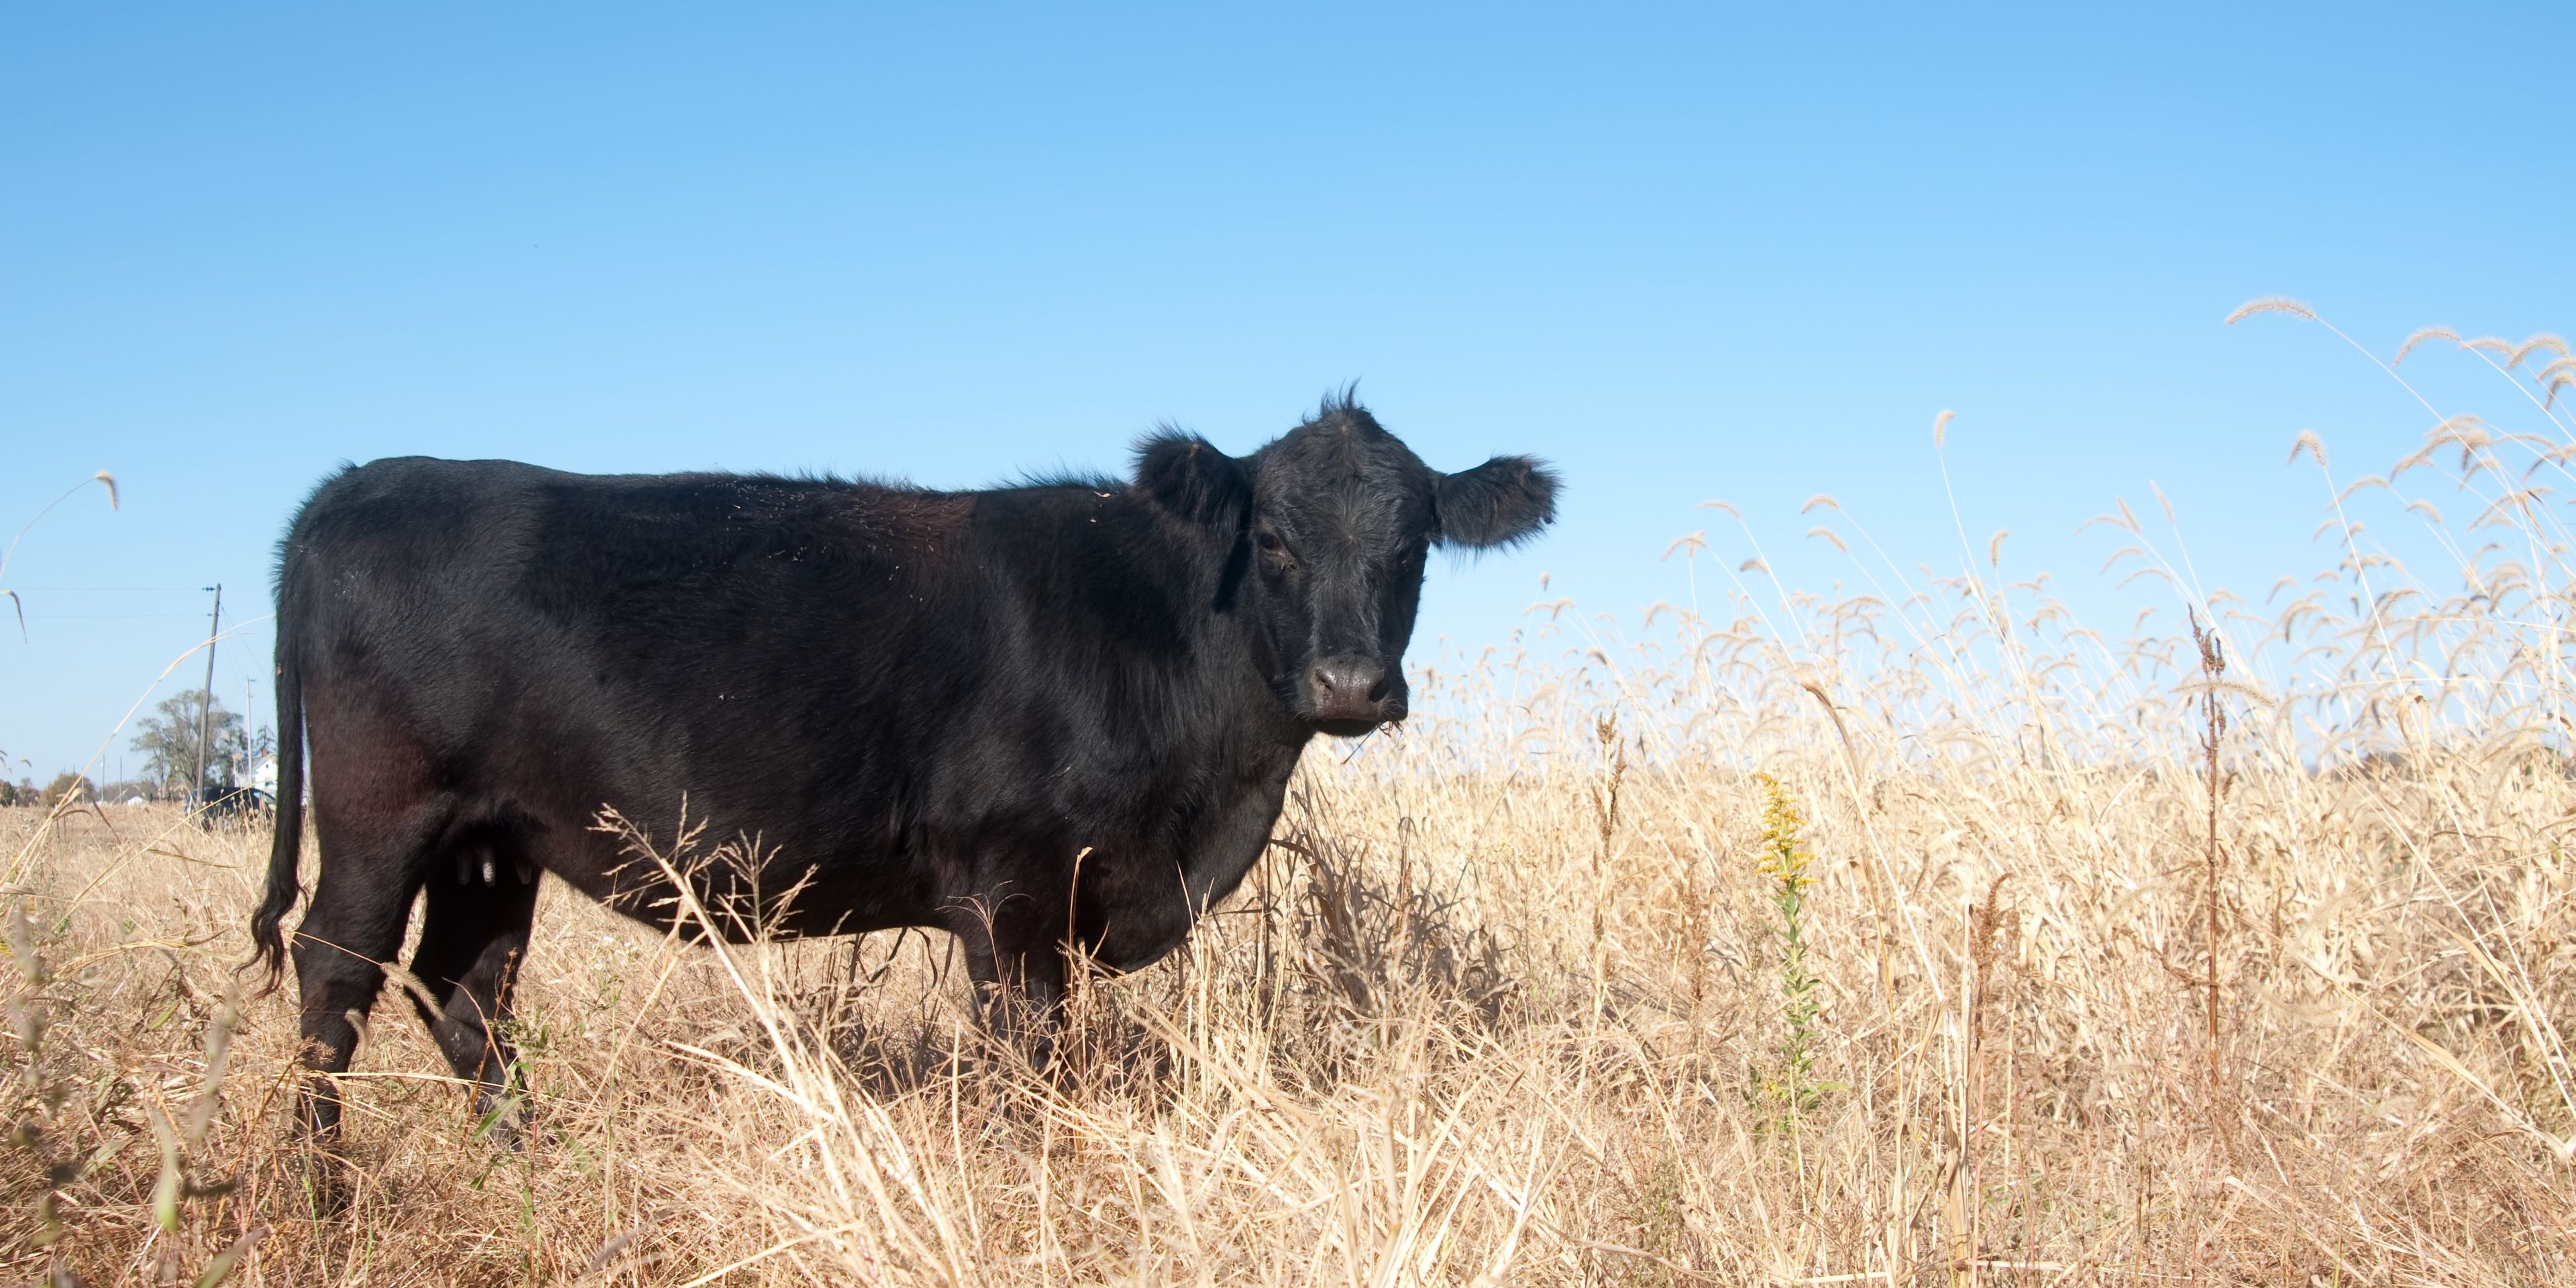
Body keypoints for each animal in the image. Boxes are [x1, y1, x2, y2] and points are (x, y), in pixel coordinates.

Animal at [249, 393, 1557, 1135]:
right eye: (1273, 538)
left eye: (1415, 543)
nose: (1350, 685)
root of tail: (360, 483)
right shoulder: (1011, 889)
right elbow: (1030, 1058)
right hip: (381, 811)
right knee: (336, 978)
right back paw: (324, 1198)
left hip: (492, 840)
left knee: (464, 991)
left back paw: (522, 1155)